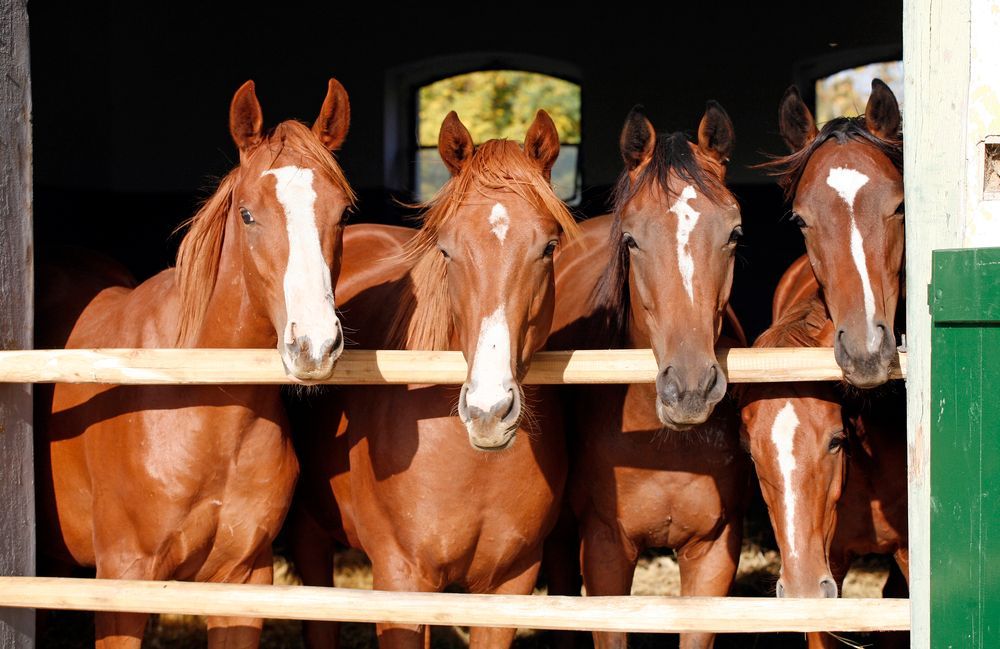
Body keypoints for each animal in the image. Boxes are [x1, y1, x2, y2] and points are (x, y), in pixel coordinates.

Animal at [36, 78, 354, 649]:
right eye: (247, 214)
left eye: (342, 214)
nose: (314, 345)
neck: (202, 404)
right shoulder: (123, 579)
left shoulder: (243, 579)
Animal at [288, 109, 578, 649]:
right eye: (446, 250)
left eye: (548, 248)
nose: (488, 411)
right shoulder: (401, 580)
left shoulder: (510, 584)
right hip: (310, 530)